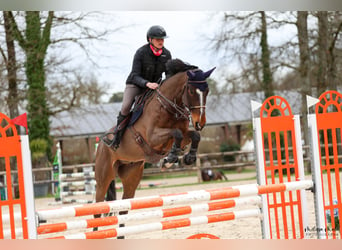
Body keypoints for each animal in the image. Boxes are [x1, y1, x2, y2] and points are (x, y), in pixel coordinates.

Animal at [94, 58, 214, 234]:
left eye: (207, 91)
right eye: (192, 91)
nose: (200, 123)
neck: (169, 107)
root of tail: (100, 146)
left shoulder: (183, 134)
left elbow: (192, 135)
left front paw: (187, 157)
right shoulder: (152, 137)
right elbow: (176, 133)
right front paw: (170, 159)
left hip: (132, 175)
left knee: (123, 208)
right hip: (104, 177)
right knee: (97, 208)